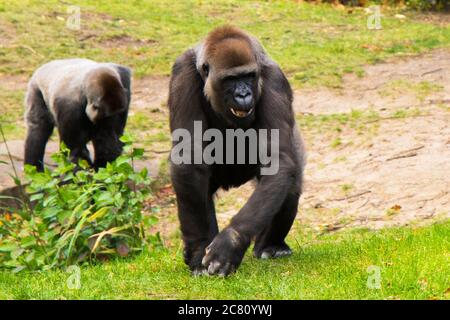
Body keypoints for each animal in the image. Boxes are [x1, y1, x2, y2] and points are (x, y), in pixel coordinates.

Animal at [169, 25, 306, 276]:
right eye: (231, 79)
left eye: (249, 76)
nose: (243, 94)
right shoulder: (182, 71)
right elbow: (189, 156)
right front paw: (199, 248)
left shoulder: (273, 78)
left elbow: (278, 161)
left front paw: (231, 241)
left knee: (291, 184)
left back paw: (270, 246)